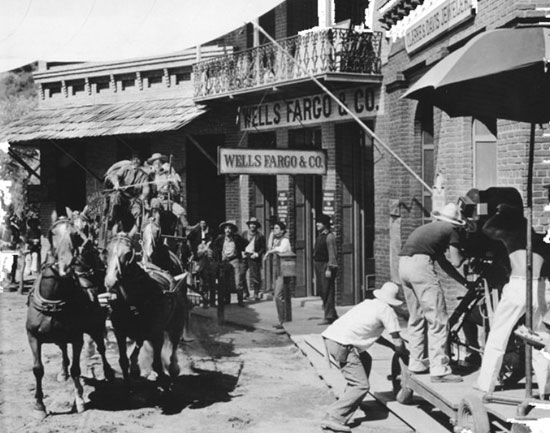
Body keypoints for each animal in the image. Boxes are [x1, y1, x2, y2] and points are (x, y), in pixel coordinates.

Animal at [25, 218, 113, 416]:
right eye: (53, 233)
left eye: (75, 236)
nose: (65, 265)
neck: (52, 301)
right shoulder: (33, 336)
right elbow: (38, 369)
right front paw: (39, 405)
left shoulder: (77, 338)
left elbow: (76, 369)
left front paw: (79, 399)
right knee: (64, 350)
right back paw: (62, 372)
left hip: (96, 326)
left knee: (101, 347)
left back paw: (109, 373)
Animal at [104, 233, 189, 388]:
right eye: (107, 250)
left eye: (128, 253)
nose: (110, 281)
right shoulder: (120, 332)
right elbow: (123, 361)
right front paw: (128, 382)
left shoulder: (157, 333)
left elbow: (157, 364)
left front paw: (164, 378)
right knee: (139, 343)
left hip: (177, 322)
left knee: (174, 343)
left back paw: (173, 367)